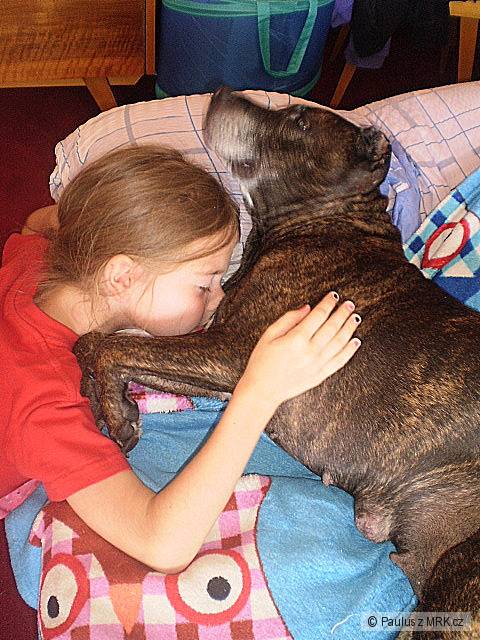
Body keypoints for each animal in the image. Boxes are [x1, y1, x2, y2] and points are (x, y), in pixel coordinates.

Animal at [74, 88, 480, 629]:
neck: (328, 219)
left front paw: (116, 412)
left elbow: (111, 343)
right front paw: (101, 395)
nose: (222, 92)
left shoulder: (232, 353)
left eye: (301, 122)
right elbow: (105, 345)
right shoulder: (223, 365)